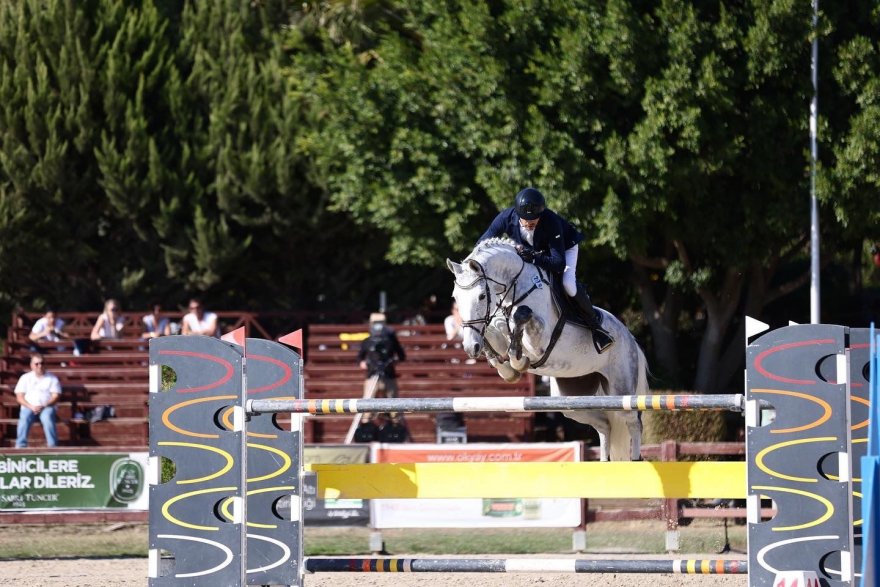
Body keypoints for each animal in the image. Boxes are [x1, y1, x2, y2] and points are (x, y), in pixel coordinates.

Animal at [446, 237, 648, 462]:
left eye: (482, 296)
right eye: (455, 297)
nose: (470, 347)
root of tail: (631, 339)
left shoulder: (539, 338)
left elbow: (519, 318)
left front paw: (517, 361)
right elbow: (494, 328)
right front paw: (505, 368)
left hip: (621, 388)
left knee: (633, 422)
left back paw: (636, 460)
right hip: (572, 401)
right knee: (605, 425)